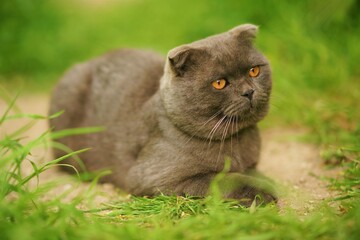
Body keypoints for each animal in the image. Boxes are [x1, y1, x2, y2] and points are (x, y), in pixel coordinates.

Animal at [50, 23, 276, 204]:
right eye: (219, 83)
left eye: (254, 71)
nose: (248, 91)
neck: (238, 141)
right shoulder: (155, 177)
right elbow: (224, 179)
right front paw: (263, 191)